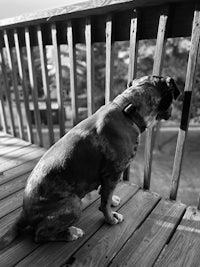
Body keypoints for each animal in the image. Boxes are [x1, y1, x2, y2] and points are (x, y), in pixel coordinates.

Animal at [0, 75, 180, 249]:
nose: (173, 111)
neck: (128, 111)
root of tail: (24, 212)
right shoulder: (113, 174)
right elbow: (104, 203)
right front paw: (110, 219)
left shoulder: (108, 179)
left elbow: (107, 195)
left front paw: (112, 201)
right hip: (73, 204)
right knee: (40, 235)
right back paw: (70, 233)